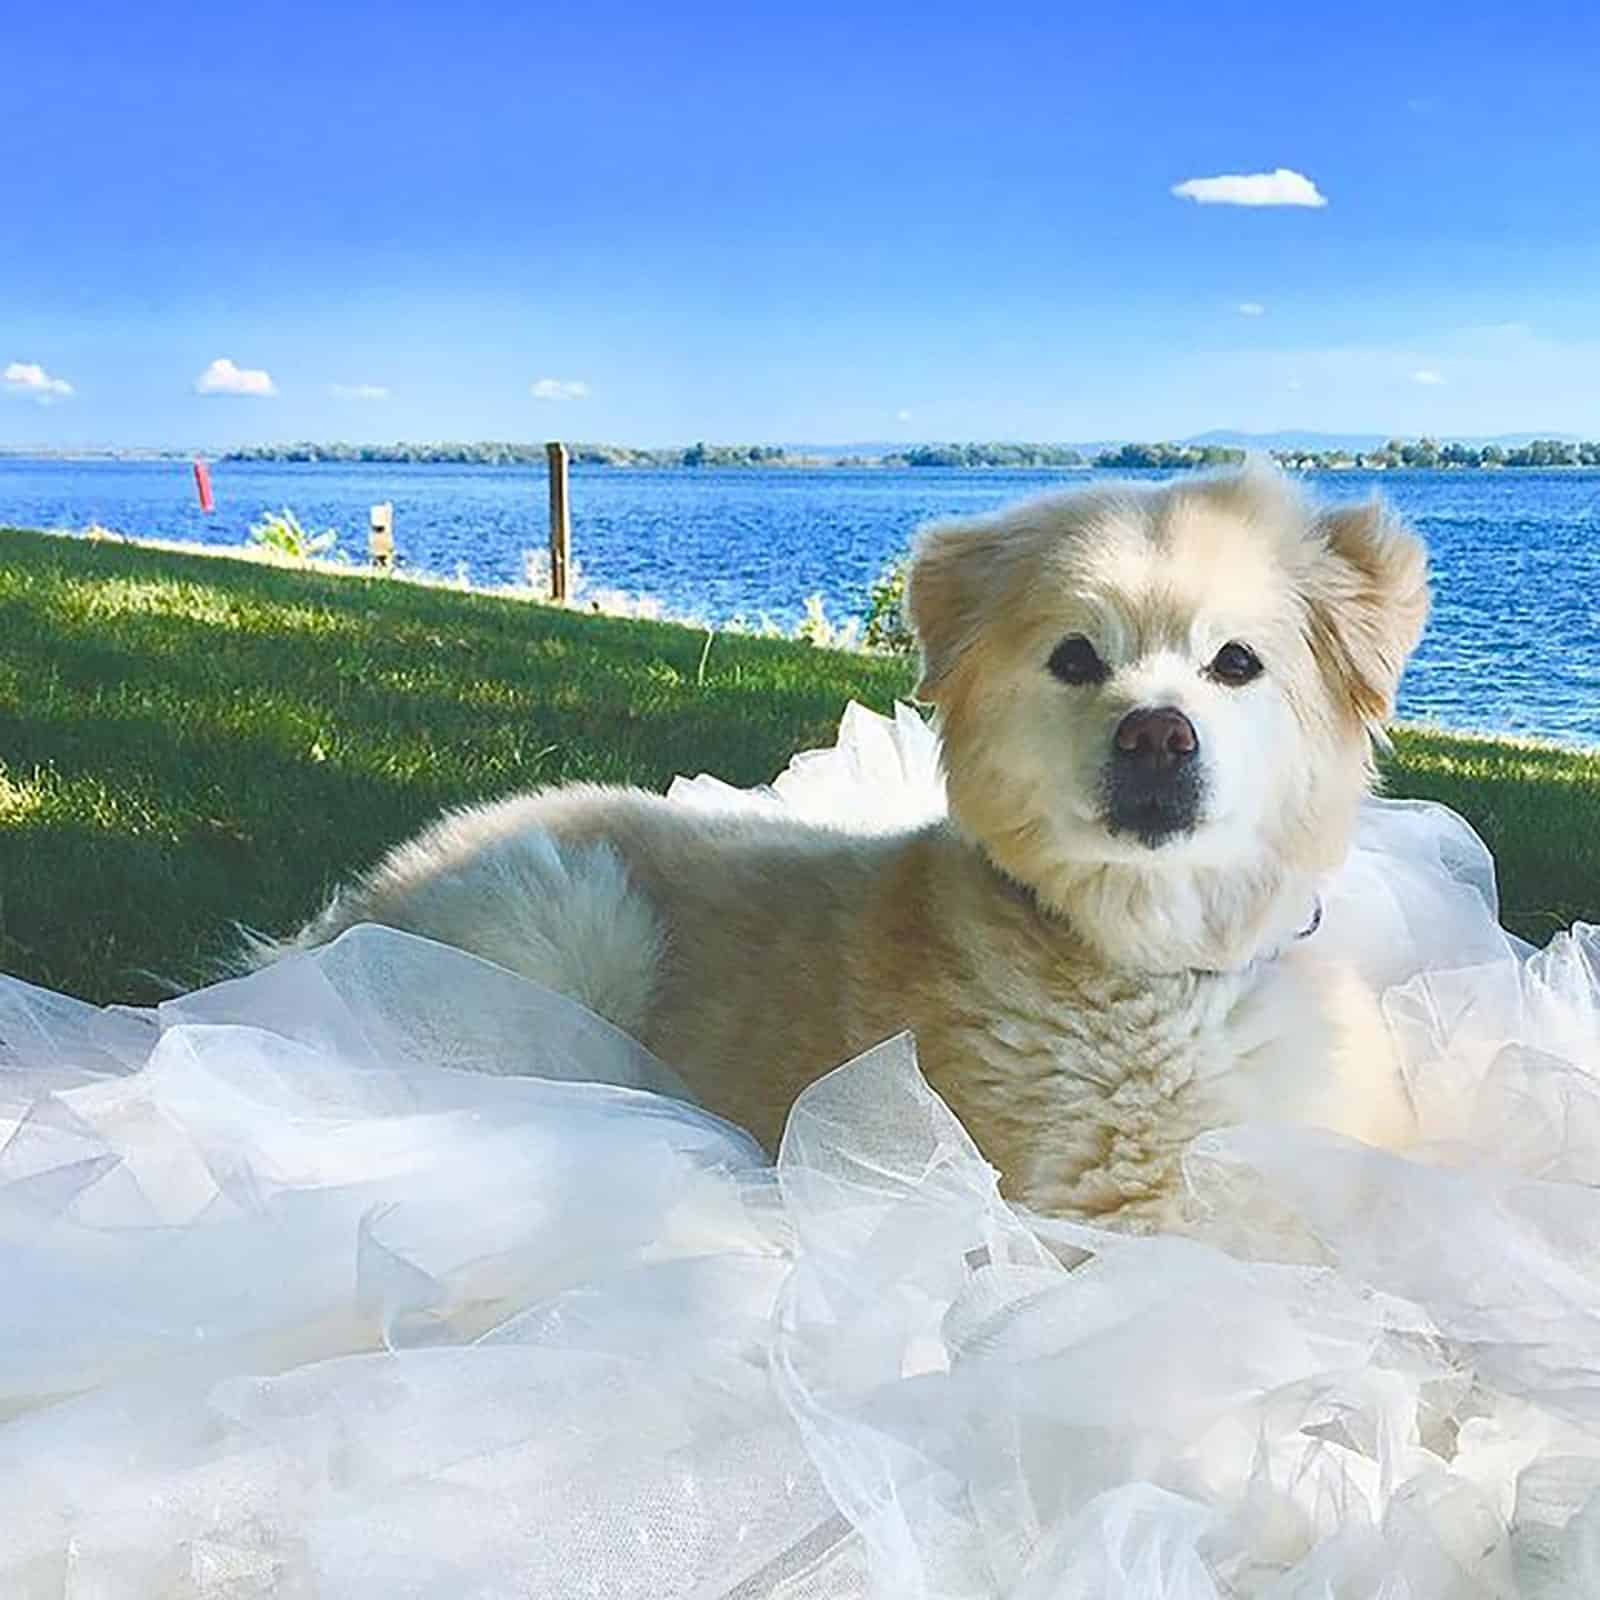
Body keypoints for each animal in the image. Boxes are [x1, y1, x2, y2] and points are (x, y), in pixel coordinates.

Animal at [259, 467, 1427, 1228]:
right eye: (1075, 659)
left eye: (1236, 663)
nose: (1155, 733)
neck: (1156, 964)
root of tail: (343, 919)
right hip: (567, 915)